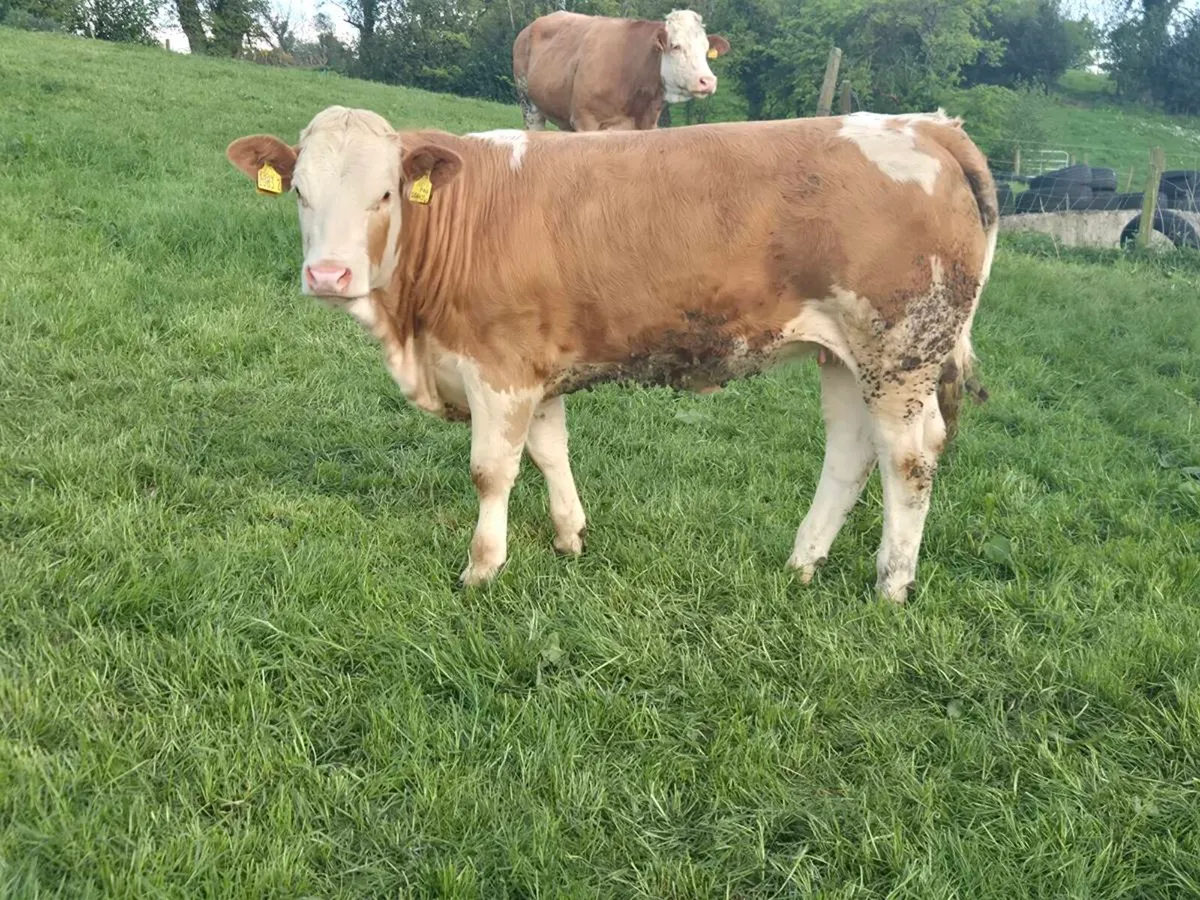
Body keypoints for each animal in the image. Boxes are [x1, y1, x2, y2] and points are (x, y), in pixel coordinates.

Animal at [225, 105, 997, 604]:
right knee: (849, 452)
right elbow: (549, 451)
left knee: (909, 459)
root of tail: (928, 126)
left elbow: (492, 472)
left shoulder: (501, 367)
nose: (328, 275)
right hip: (843, 353)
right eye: (300, 193)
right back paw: (801, 565)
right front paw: (570, 537)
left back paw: (892, 585)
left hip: (900, 346)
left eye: (385, 194)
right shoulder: (536, 366)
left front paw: (482, 569)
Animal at [512, 9, 730, 132]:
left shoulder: (647, 125)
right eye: (676, 46)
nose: (707, 81)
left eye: (705, 48)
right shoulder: (586, 121)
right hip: (529, 107)